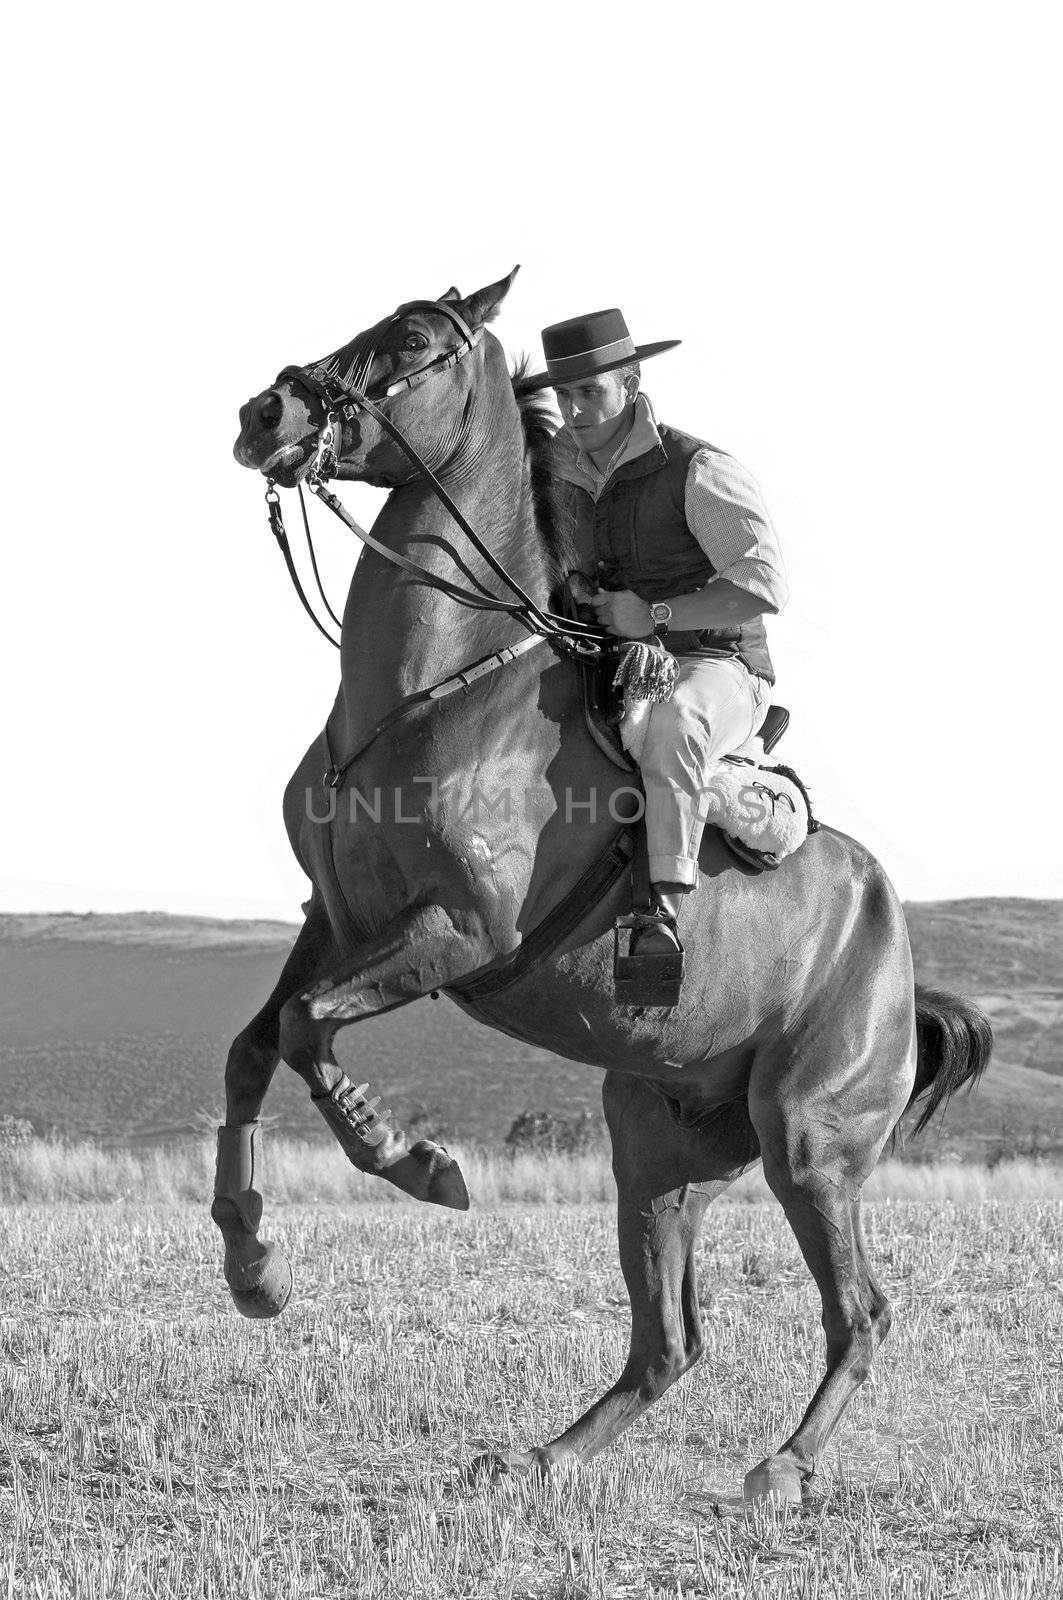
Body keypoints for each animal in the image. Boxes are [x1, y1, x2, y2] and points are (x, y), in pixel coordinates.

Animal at [222, 268, 986, 1504]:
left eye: (416, 341)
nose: (266, 412)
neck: (435, 693)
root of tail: (896, 958)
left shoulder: (456, 932)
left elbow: (304, 1029)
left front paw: (419, 1164)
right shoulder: (332, 921)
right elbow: (258, 1046)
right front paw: (253, 1264)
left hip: (808, 1143)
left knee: (859, 1312)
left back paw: (779, 1470)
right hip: (658, 1150)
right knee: (667, 1340)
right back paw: (540, 1456)